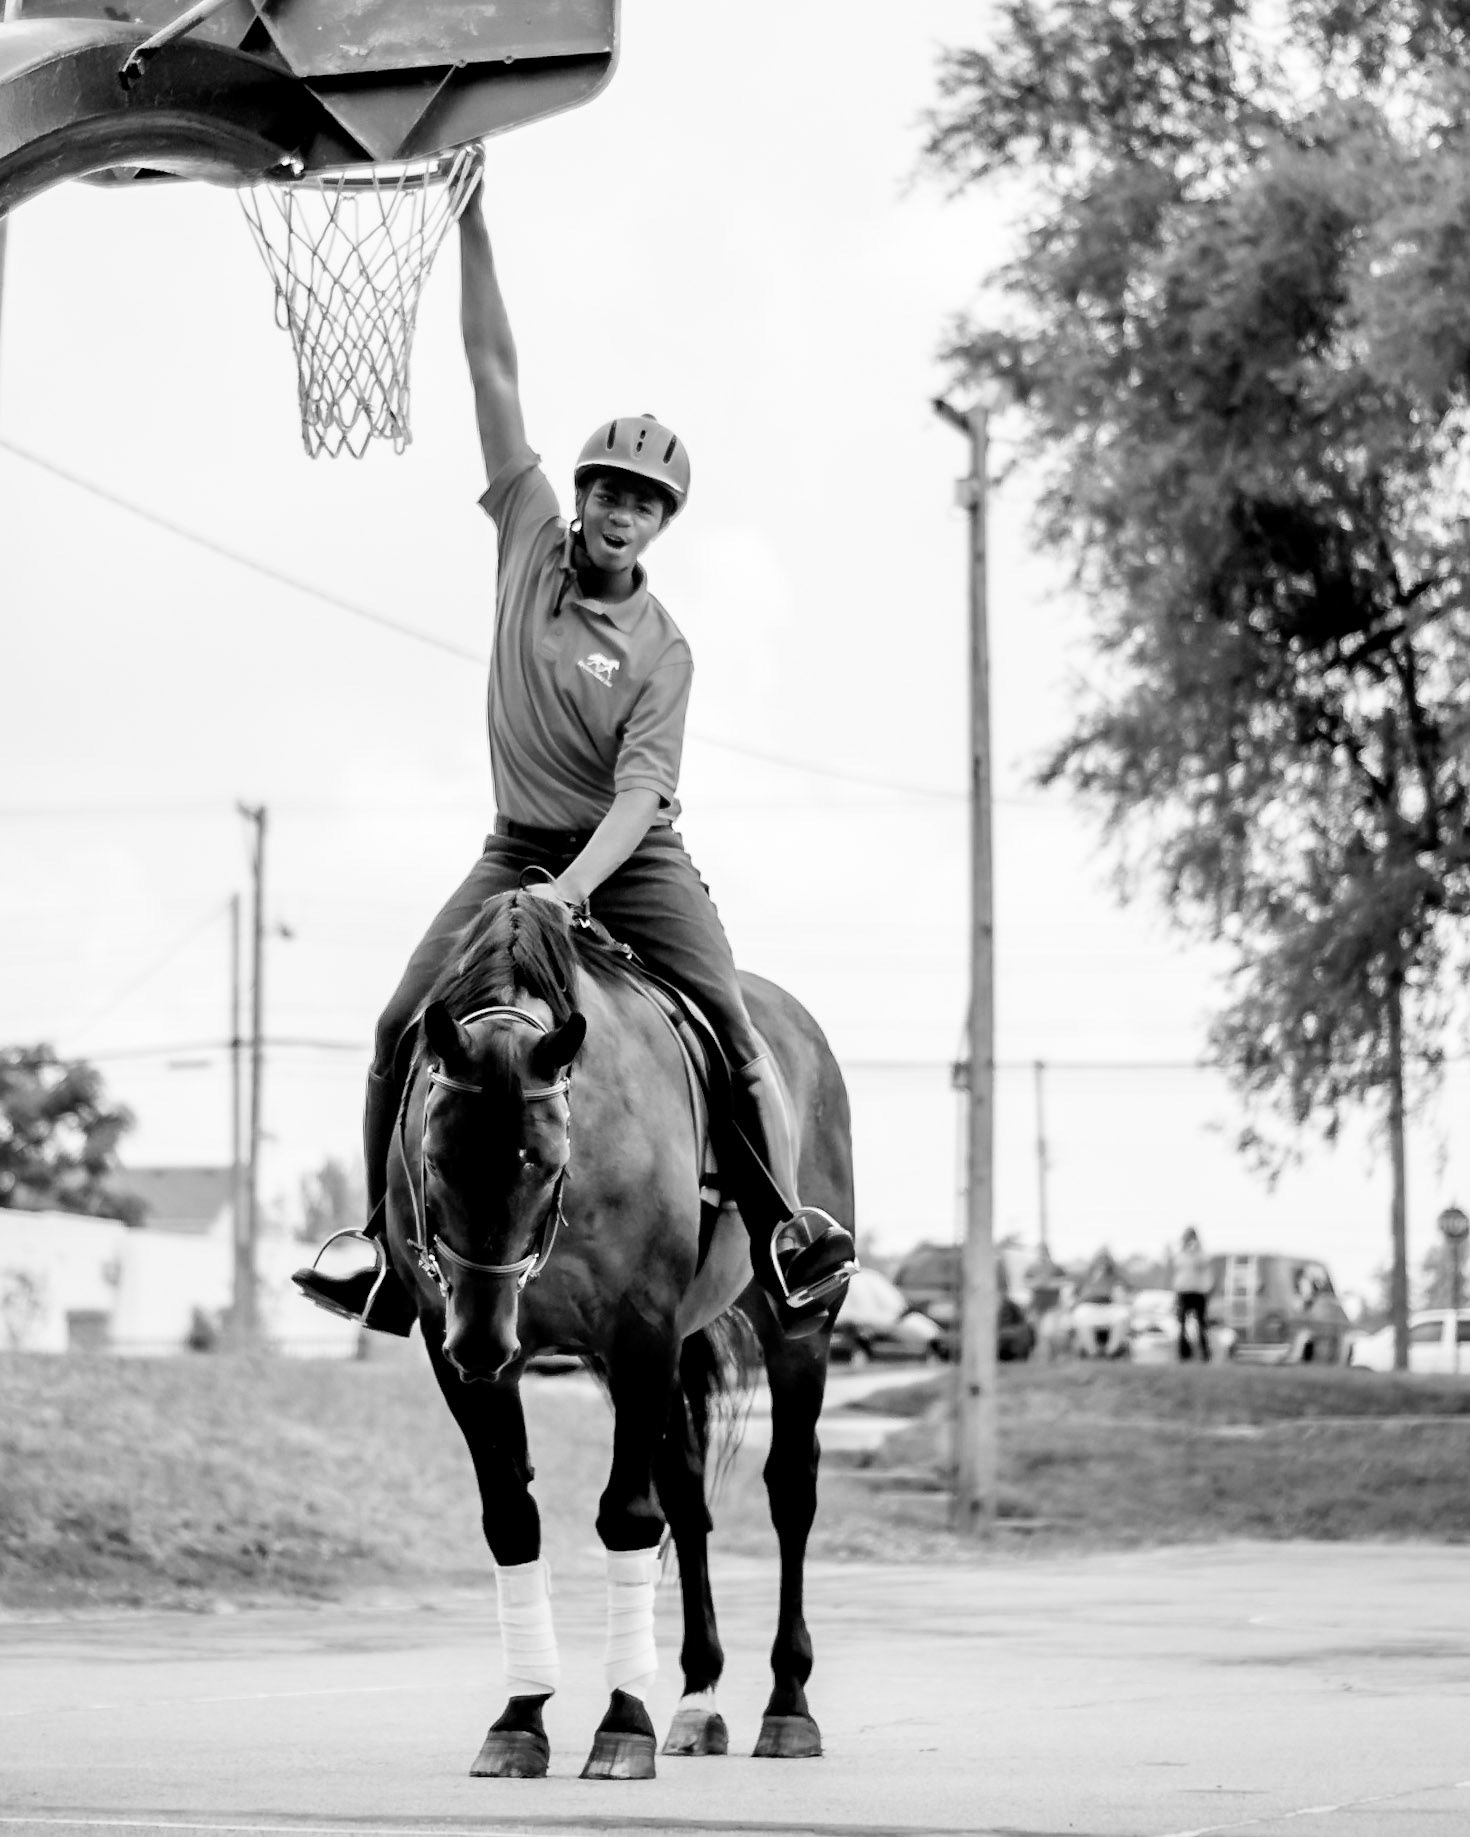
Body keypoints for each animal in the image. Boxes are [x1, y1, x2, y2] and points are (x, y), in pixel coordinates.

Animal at [383, 888, 852, 1780]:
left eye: (542, 1159)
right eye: (433, 1153)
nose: (484, 1344)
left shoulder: (642, 1332)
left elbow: (629, 1517)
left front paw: (623, 1722)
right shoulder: (454, 1344)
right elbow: (514, 1519)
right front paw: (521, 1717)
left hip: (795, 1330)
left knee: (792, 1491)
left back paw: (789, 1706)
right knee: (690, 1498)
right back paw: (699, 1701)